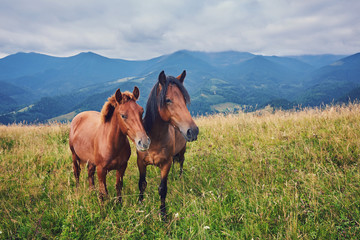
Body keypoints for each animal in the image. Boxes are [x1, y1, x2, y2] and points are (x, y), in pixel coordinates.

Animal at [136, 70, 198, 218]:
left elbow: (162, 189)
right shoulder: (140, 162)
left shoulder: (166, 164)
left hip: (182, 151)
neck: (154, 139)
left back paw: (180, 178)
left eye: (185, 100)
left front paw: (163, 214)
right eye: (168, 100)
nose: (193, 131)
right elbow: (142, 184)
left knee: (181, 163)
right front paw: (140, 206)